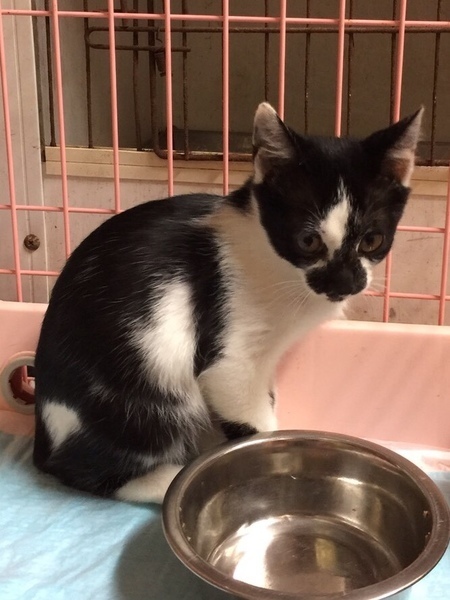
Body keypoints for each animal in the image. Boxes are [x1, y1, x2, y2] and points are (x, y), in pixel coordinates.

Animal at [33, 102, 423, 504]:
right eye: (308, 241)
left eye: (373, 240)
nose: (345, 283)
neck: (276, 264)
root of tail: (42, 437)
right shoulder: (229, 356)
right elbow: (245, 411)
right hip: (143, 398)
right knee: (84, 467)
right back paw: (164, 479)